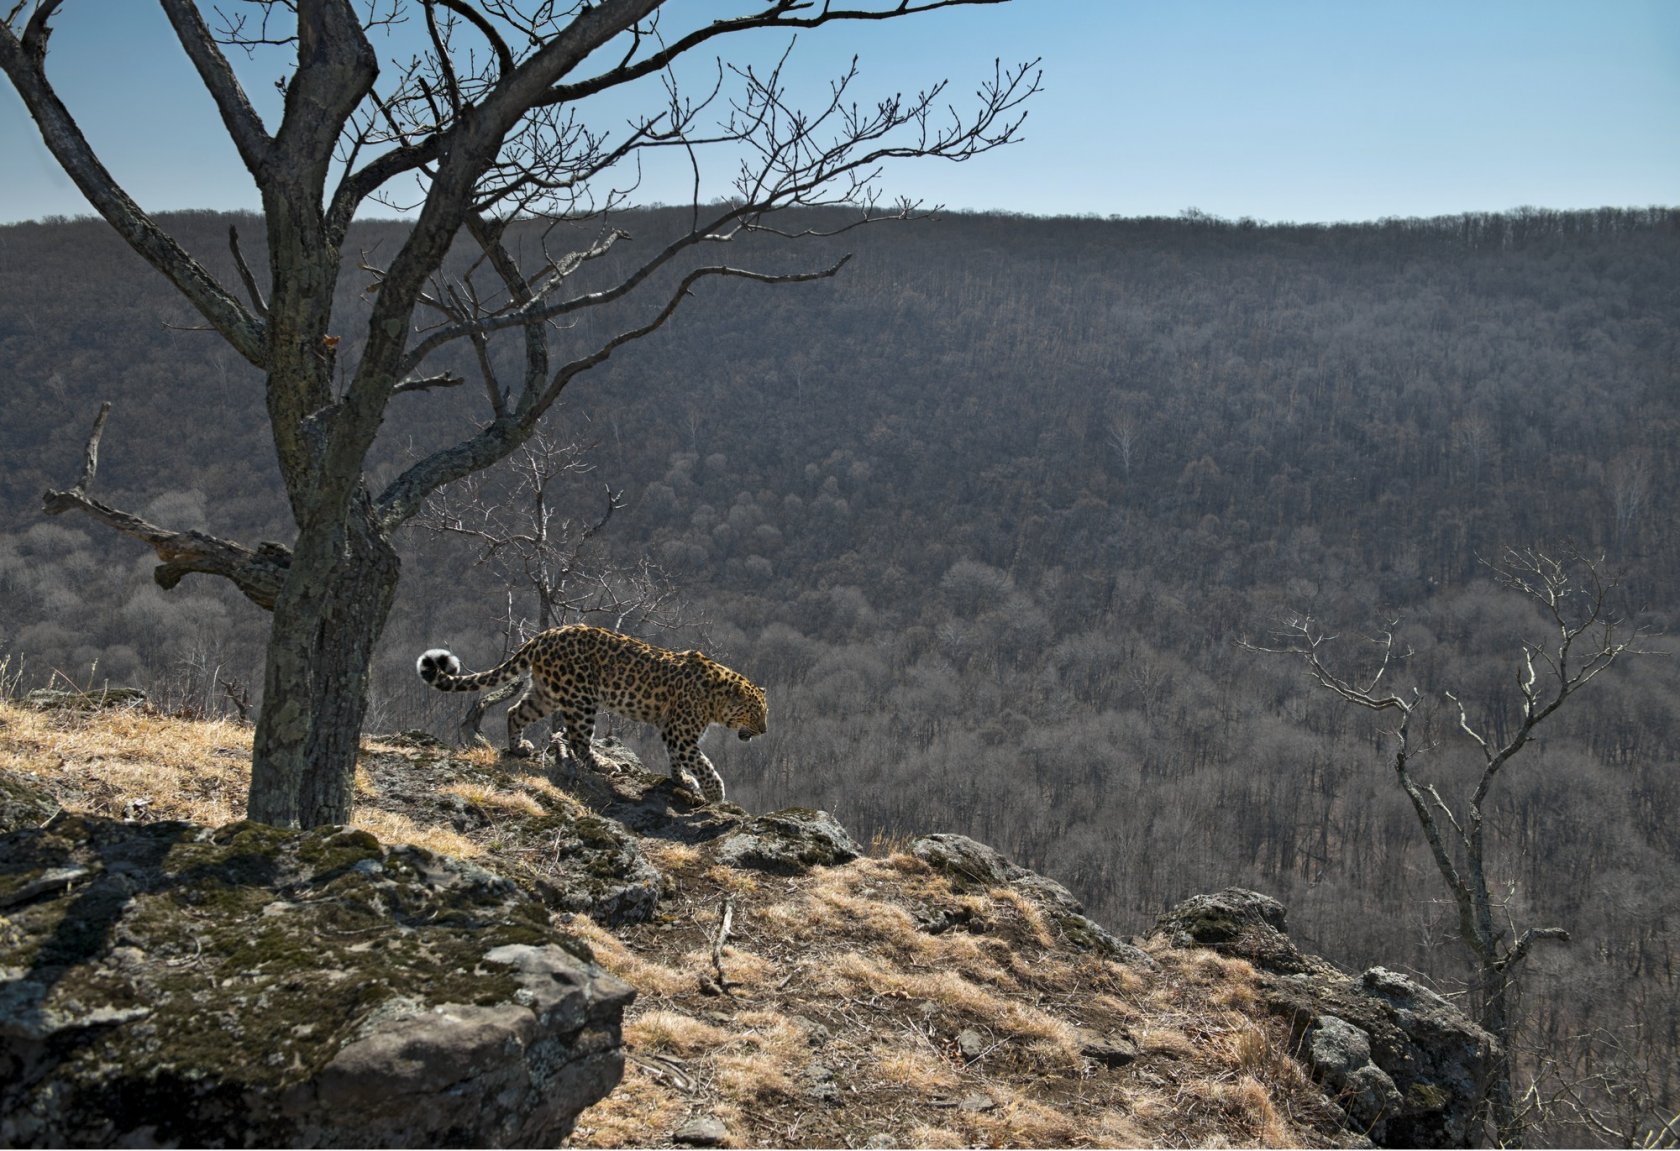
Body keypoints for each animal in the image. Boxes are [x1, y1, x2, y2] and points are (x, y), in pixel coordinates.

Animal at [414, 625, 769, 803]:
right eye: (755, 713)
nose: (764, 731)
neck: (716, 698)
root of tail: (546, 635)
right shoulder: (680, 732)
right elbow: (700, 761)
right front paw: (714, 791)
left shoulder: (675, 733)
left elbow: (680, 760)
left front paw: (682, 780)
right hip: (581, 698)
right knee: (579, 741)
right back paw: (608, 764)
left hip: (546, 693)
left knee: (516, 711)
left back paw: (520, 747)